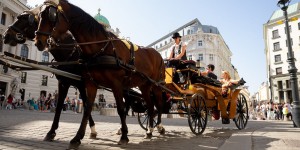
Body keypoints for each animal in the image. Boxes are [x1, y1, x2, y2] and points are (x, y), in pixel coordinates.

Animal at [35, 0, 166, 148]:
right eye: (39, 16)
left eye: (52, 15)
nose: (38, 41)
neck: (101, 48)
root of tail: (157, 54)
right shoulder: (89, 84)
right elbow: (86, 109)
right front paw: (77, 137)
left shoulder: (115, 84)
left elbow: (120, 109)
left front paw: (124, 136)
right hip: (144, 86)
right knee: (150, 107)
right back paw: (149, 131)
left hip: (156, 86)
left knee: (158, 106)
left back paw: (159, 127)